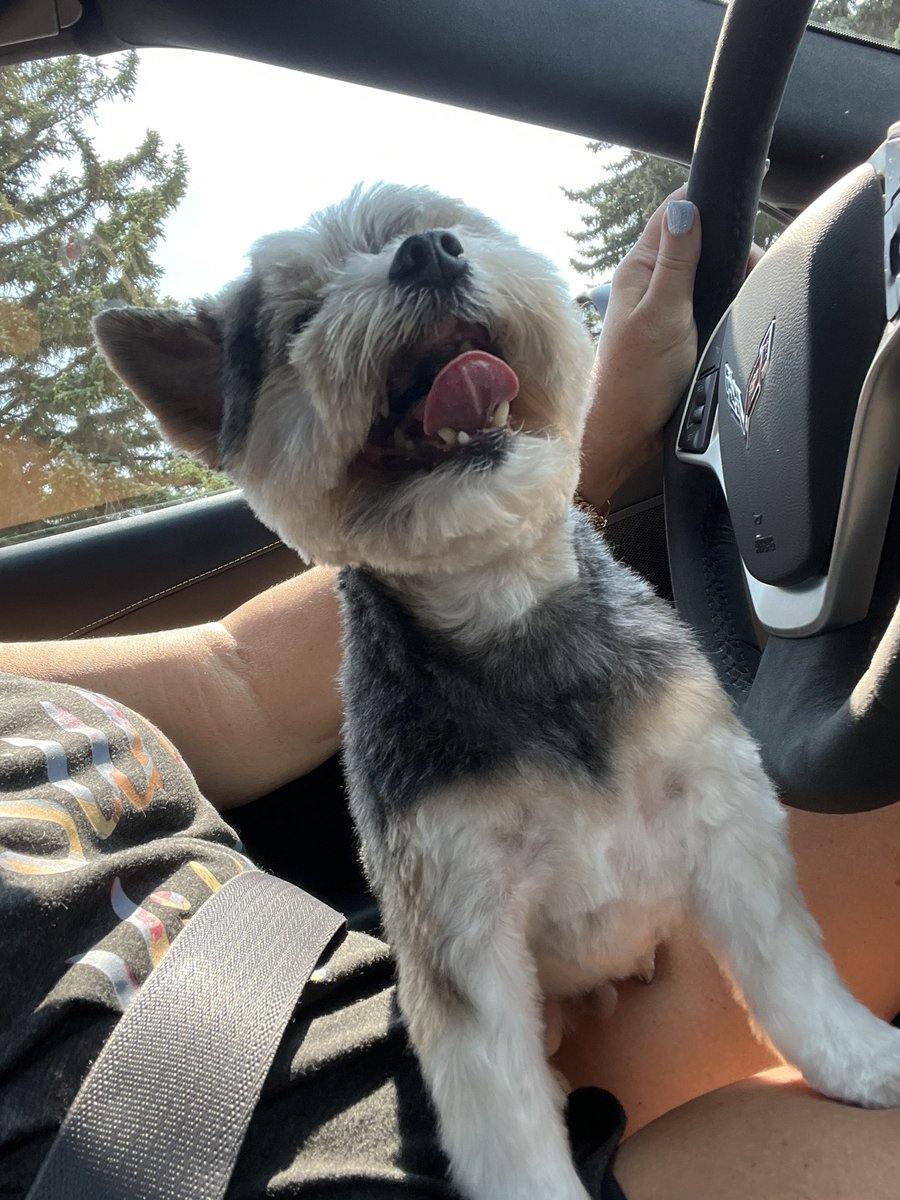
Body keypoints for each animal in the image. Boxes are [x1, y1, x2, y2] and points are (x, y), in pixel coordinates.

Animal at [95, 184, 900, 1200]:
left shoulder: (720, 802)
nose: (428, 254)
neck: (509, 618)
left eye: (445, 224)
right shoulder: (458, 918)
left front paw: (864, 1060)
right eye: (298, 319)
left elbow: (788, 967)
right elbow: (506, 1118)